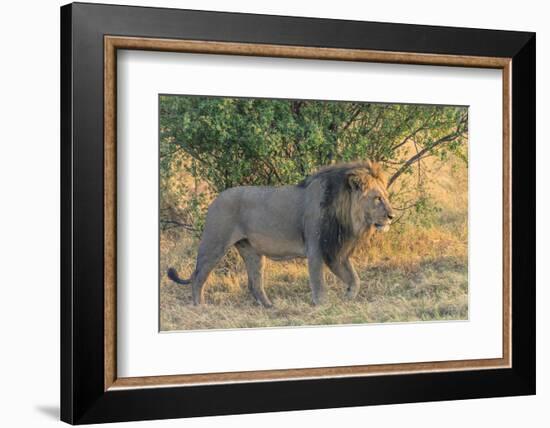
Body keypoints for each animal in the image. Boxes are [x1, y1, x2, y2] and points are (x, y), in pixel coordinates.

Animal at [166, 159, 394, 306]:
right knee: (198, 278)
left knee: (255, 284)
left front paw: (348, 297)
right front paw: (323, 306)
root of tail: (215, 199)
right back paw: (200, 306)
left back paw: (269, 306)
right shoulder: (317, 249)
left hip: (252, 252)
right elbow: (319, 283)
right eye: (377, 198)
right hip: (215, 244)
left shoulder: (335, 250)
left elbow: (355, 279)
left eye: (386, 196)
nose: (392, 216)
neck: (347, 215)